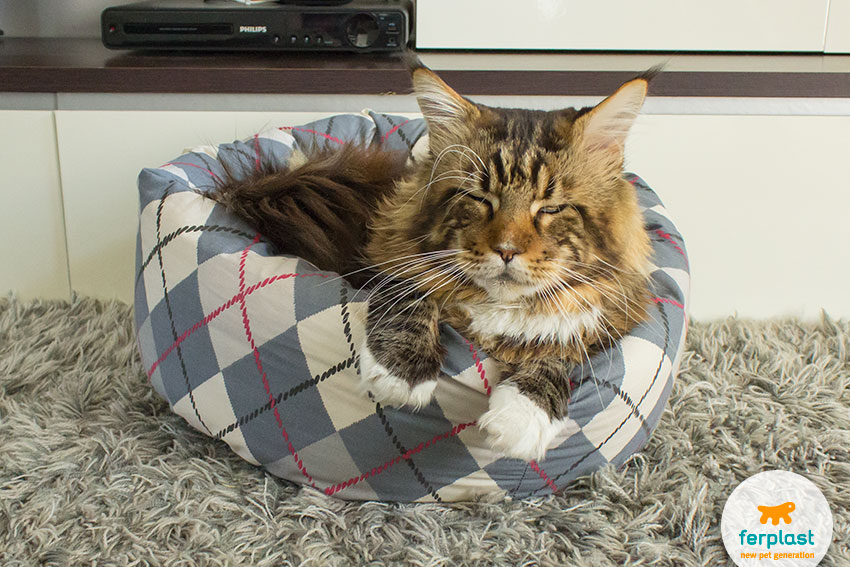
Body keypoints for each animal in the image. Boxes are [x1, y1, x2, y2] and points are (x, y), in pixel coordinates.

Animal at [209, 55, 652, 462]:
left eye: (551, 208)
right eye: (479, 198)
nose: (506, 250)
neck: (495, 308)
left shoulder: (603, 322)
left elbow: (557, 351)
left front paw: (523, 415)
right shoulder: (385, 261)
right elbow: (411, 291)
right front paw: (401, 373)